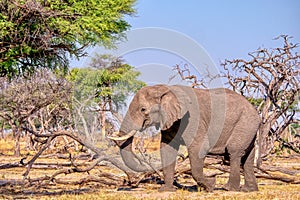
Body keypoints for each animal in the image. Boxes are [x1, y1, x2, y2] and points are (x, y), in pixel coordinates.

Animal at [108, 84, 260, 192]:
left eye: (143, 109)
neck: (165, 89)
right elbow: (167, 148)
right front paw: (165, 190)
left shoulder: (193, 119)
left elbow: (198, 148)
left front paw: (210, 186)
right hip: (249, 127)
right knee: (248, 157)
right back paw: (249, 190)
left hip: (244, 123)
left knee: (234, 152)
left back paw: (229, 189)